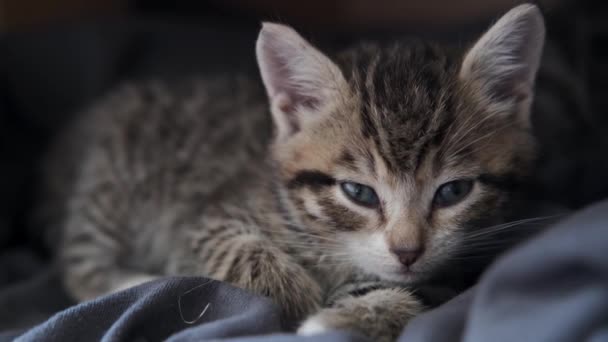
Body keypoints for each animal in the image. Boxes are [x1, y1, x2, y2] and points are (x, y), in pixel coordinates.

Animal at [54, 4, 544, 340]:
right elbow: (238, 247)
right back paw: (141, 281)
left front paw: (345, 320)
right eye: (359, 193)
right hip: (108, 188)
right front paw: (291, 298)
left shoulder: (444, 274)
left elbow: (413, 296)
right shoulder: (204, 216)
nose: (407, 252)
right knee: (80, 263)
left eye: (453, 191)